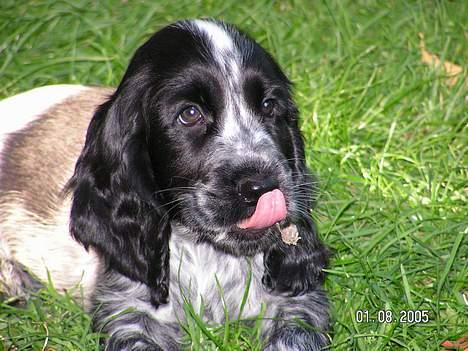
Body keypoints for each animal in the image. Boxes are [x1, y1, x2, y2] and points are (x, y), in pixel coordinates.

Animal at [0, 20, 330, 351]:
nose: (262, 186)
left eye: (269, 106)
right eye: (190, 114)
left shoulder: (297, 302)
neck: (206, 251)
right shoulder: (128, 307)